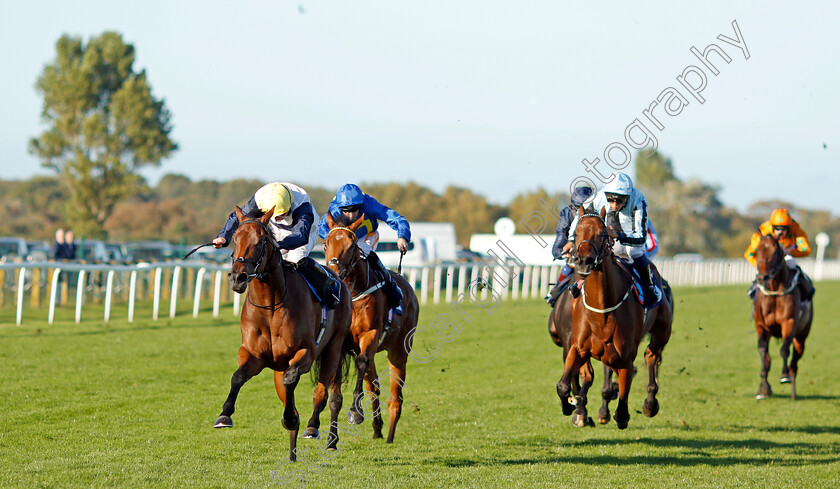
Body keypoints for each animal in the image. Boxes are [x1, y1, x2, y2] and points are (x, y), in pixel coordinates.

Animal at [213, 207, 354, 462]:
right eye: (235, 239)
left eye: (261, 241)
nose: (238, 278)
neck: (270, 305)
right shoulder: (253, 354)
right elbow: (237, 377)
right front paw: (224, 415)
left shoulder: (306, 352)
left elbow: (294, 381)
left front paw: (292, 419)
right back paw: (293, 451)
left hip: (333, 349)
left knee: (324, 393)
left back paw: (316, 429)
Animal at [324, 212, 420, 440]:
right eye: (325, 244)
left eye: (351, 245)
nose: (334, 271)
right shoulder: (339, 344)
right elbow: (337, 394)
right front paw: (332, 439)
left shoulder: (370, 334)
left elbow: (361, 363)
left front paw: (355, 412)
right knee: (374, 386)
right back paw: (377, 428)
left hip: (398, 350)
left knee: (395, 395)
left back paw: (390, 435)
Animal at [556, 208, 672, 428]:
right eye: (575, 234)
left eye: (602, 233)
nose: (583, 260)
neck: (601, 312)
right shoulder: (577, 348)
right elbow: (563, 386)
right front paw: (570, 407)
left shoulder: (624, 356)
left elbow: (623, 401)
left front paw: (617, 411)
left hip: (663, 330)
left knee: (651, 355)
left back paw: (650, 403)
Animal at [752, 234, 812, 398]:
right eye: (757, 251)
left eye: (776, 252)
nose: (762, 278)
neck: (773, 292)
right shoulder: (761, 325)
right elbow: (763, 352)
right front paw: (764, 388)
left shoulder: (789, 322)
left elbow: (784, 349)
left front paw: (784, 375)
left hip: (802, 336)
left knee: (795, 359)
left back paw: (792, 385)